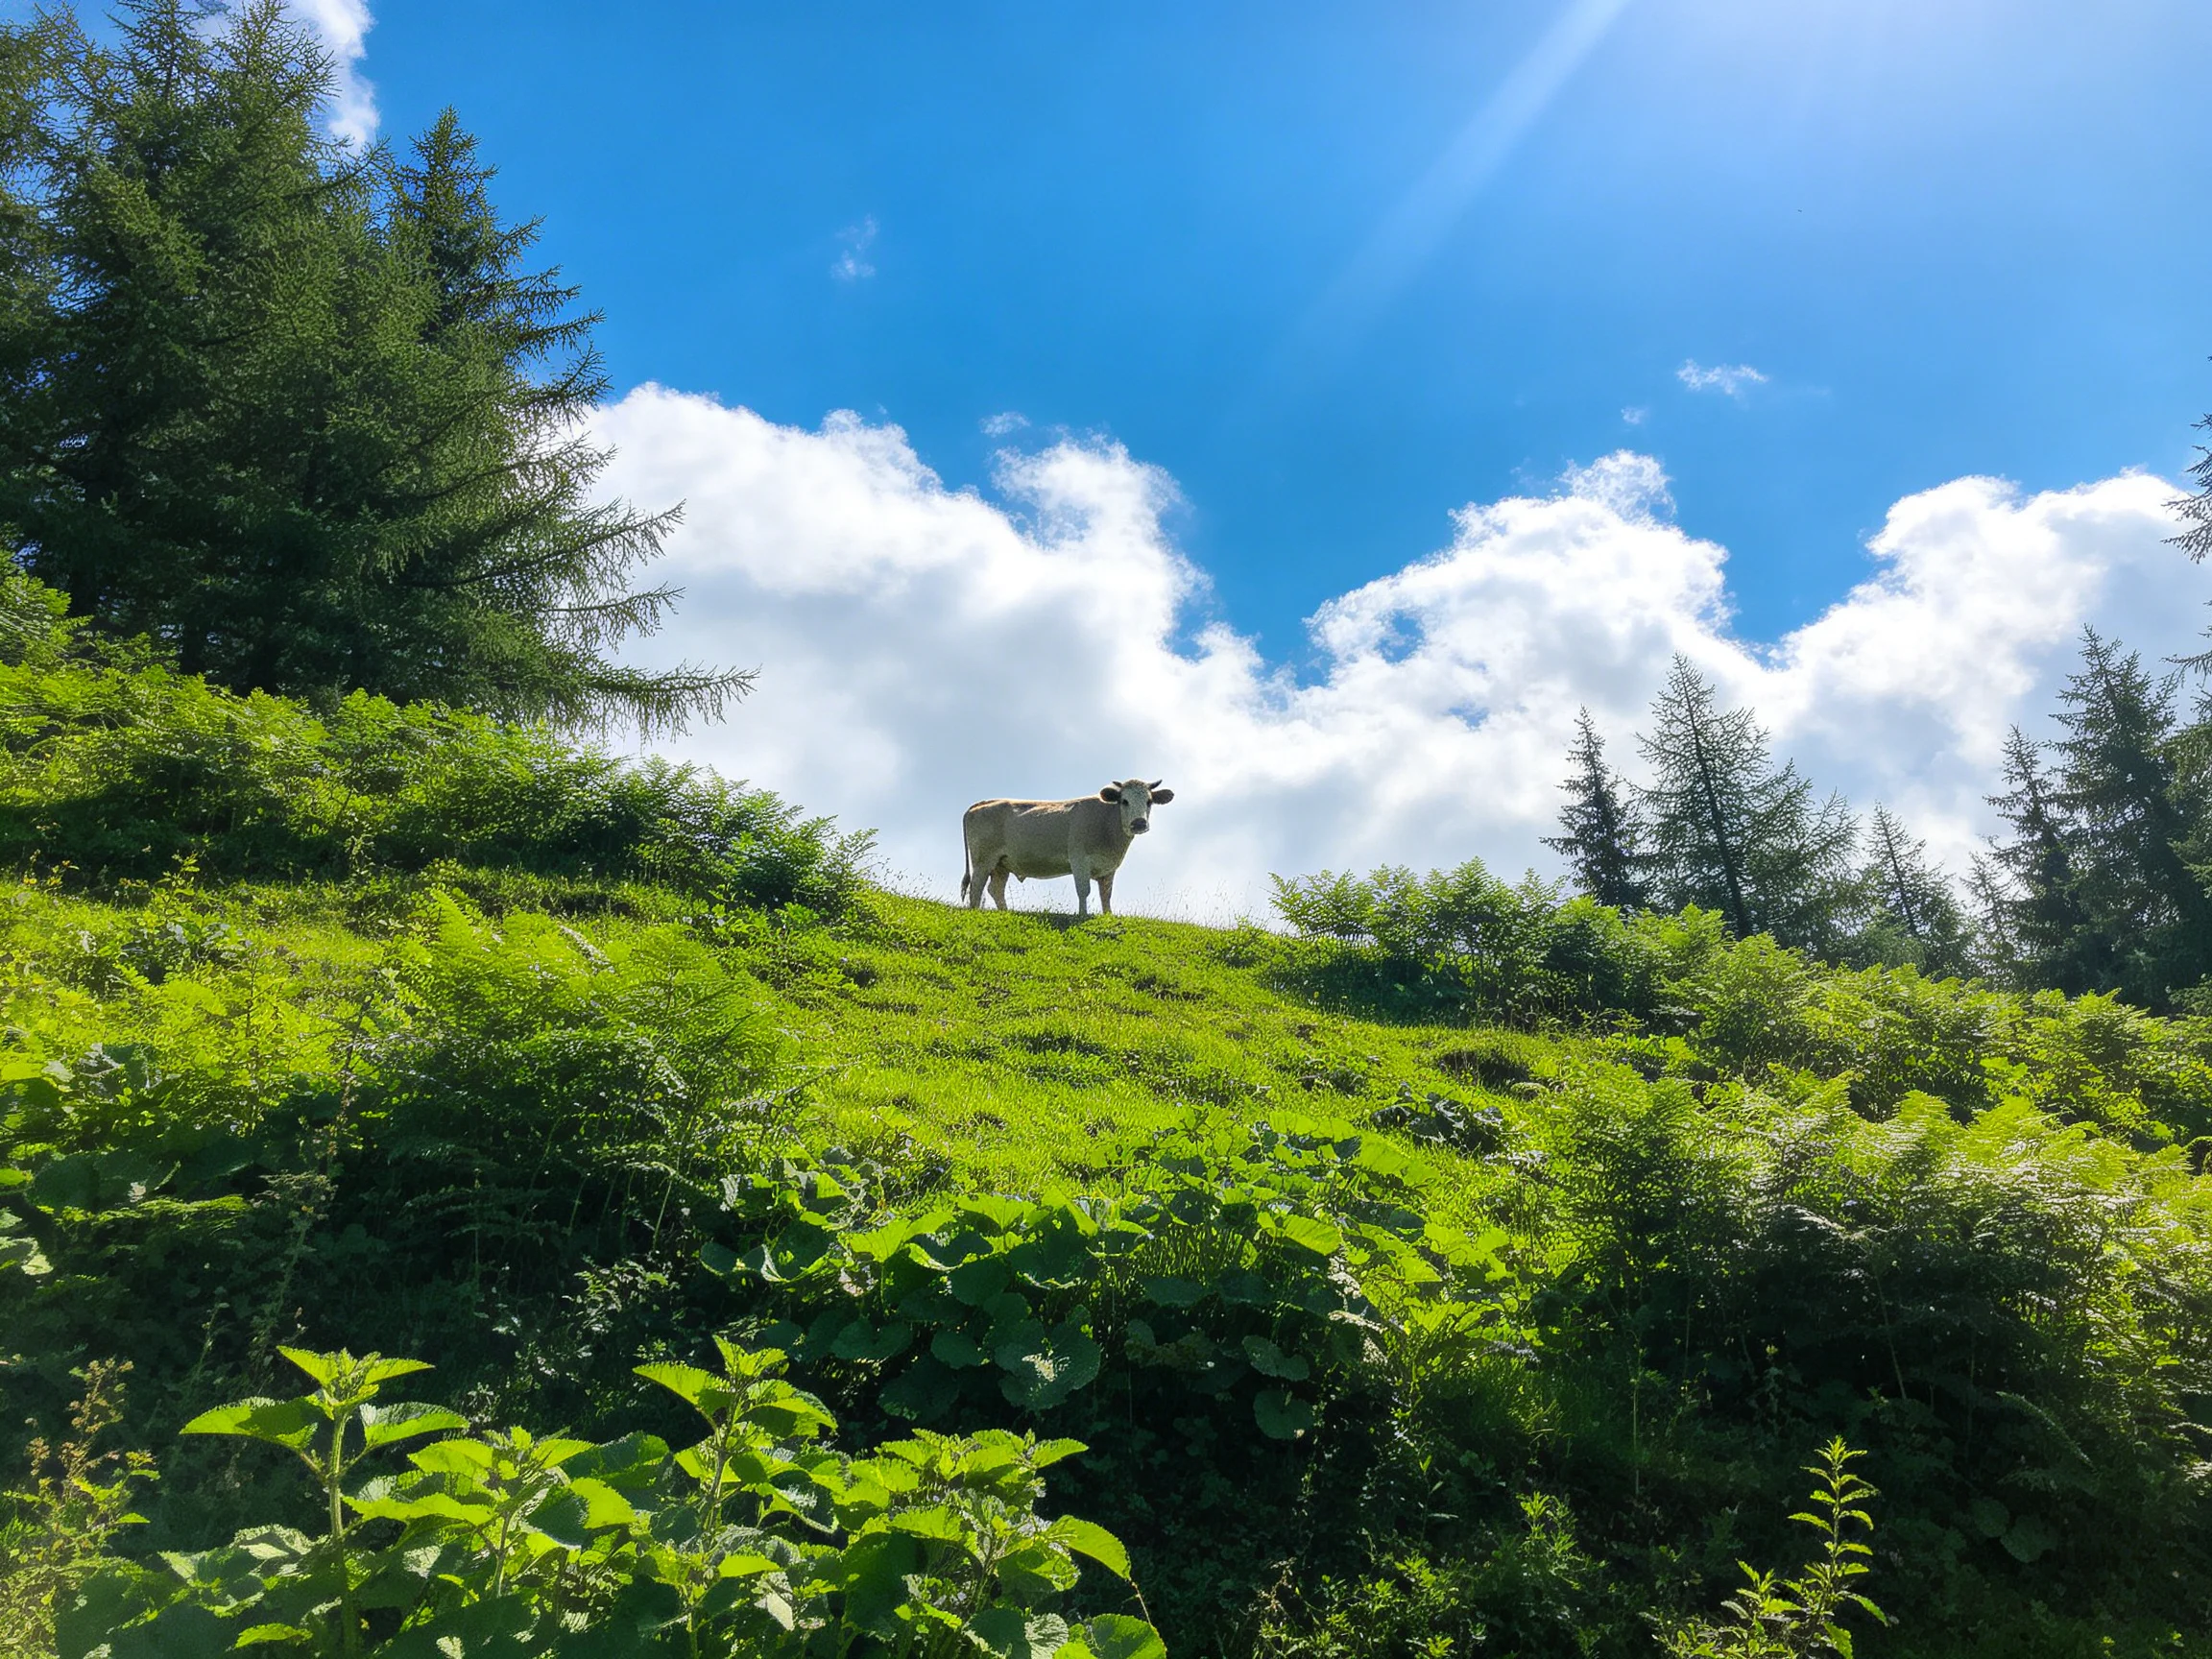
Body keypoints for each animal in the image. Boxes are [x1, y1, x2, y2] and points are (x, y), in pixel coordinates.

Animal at [960, 779, 1176, 919]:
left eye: (1149, 802)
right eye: (1124, 801)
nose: (1139, 823)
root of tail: (981, 803)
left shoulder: (1109, 868)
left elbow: (1106, 894)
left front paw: (1108, 916)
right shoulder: (1079, 859)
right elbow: (1084, 890)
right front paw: (1083, 915)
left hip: (1001, 864)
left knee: (995, 889)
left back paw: (1005, 912)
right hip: (983, 860)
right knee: (976, 887)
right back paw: (975, 911)